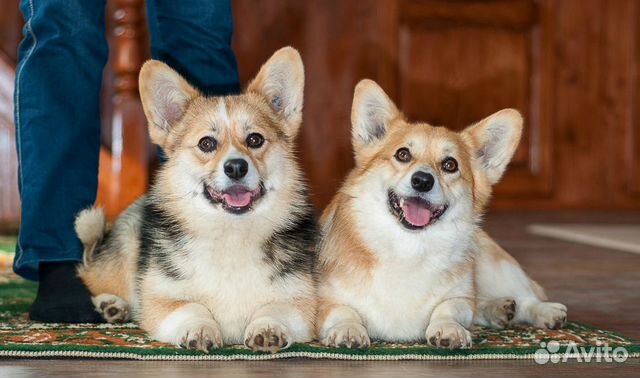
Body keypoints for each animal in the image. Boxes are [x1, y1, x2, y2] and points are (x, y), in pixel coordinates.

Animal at [74, 48, 318, 354]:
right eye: (206, 144)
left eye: (255, 139)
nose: (236, 167)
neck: (230, 232)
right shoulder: (162, 301)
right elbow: (189, 308)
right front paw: (199, 328)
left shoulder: (301, 302)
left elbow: (275, 309)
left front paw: (268, 327)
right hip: (127, 247)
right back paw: (112, 305)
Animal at [318, 79, 568, 348]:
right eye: (402, 154)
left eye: (450, 165)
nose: (422, 181)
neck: (409, 247)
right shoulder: (322, 302)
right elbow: (342, 310)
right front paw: (348, 329)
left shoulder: (459, 298)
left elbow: (449, 308)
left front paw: (449, 329)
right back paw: (499, 310)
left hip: (495, 266)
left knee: (526, 297)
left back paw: (544, 311)